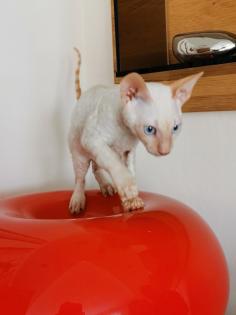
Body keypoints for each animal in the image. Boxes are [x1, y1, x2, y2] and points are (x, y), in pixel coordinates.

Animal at [68, 48, 203, 214]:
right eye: (149, 129)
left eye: (175, 128)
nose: (165, 152)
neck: (125, 131)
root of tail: (84, 96)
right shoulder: (92, 138)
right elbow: (113, 162)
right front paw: (128, 187)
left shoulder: (129, 151)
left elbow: (130, 169)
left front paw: (132, 200)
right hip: (79, 150)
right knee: (81, 177)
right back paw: (78, 200)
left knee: (96, 166)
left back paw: (106, 186)